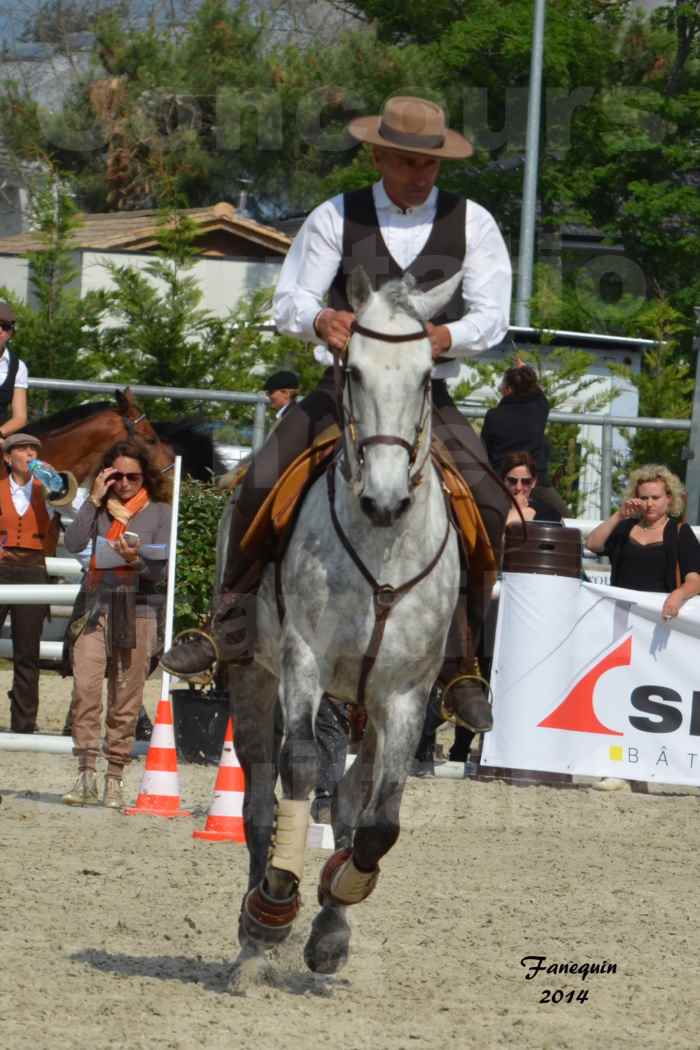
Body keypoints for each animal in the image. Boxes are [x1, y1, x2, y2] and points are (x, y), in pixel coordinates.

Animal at [227, 270, 461, 982]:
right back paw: (253, 932)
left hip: (370, 705)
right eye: (351, 369)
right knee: (258, 799)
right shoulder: (302, 660)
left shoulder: (407, 694)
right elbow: (301, 767)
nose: (384, 499)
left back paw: (329, 917)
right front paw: (275, 906)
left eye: (426, 374)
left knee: (356, 795)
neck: (382, 546)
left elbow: (380, 820)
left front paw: (335, 909)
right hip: (253, 675)